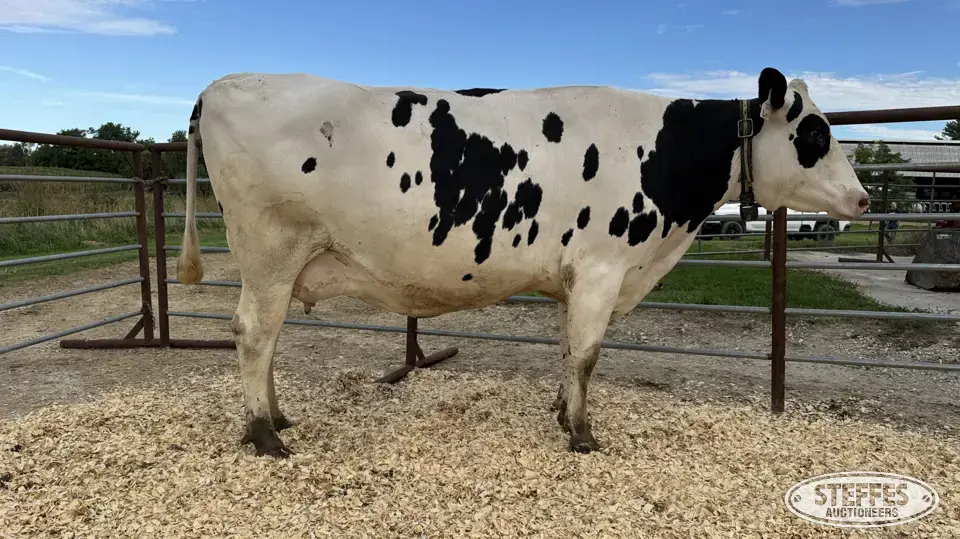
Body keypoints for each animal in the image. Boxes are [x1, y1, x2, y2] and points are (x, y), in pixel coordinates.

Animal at [175, 67, 870, 458]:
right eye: (815, 134)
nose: (863, 198)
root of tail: (220, 85)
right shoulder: (603, 268)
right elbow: (587, 355)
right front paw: (583, 436)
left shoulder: (578, 278)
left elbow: (567, 352)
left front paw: (563, 414)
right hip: (271, 250)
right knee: (253, 334)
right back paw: (266, 436)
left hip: (282, 262)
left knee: (266, 340)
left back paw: (274, 417)